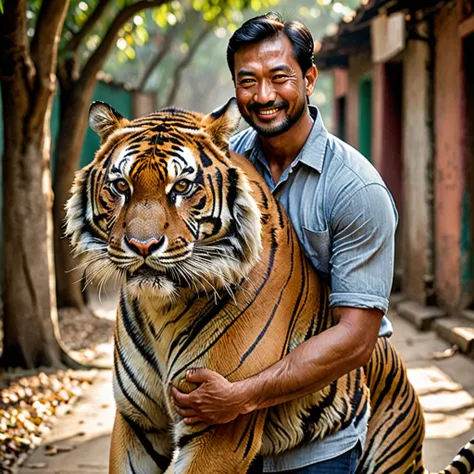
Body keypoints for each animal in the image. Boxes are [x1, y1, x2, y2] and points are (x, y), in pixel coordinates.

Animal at [65, 97, 474, 474]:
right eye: (121, 186)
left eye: (181, 186)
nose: (143, 246)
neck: (160, 307)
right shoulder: (137, 421)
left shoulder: (218, 423)